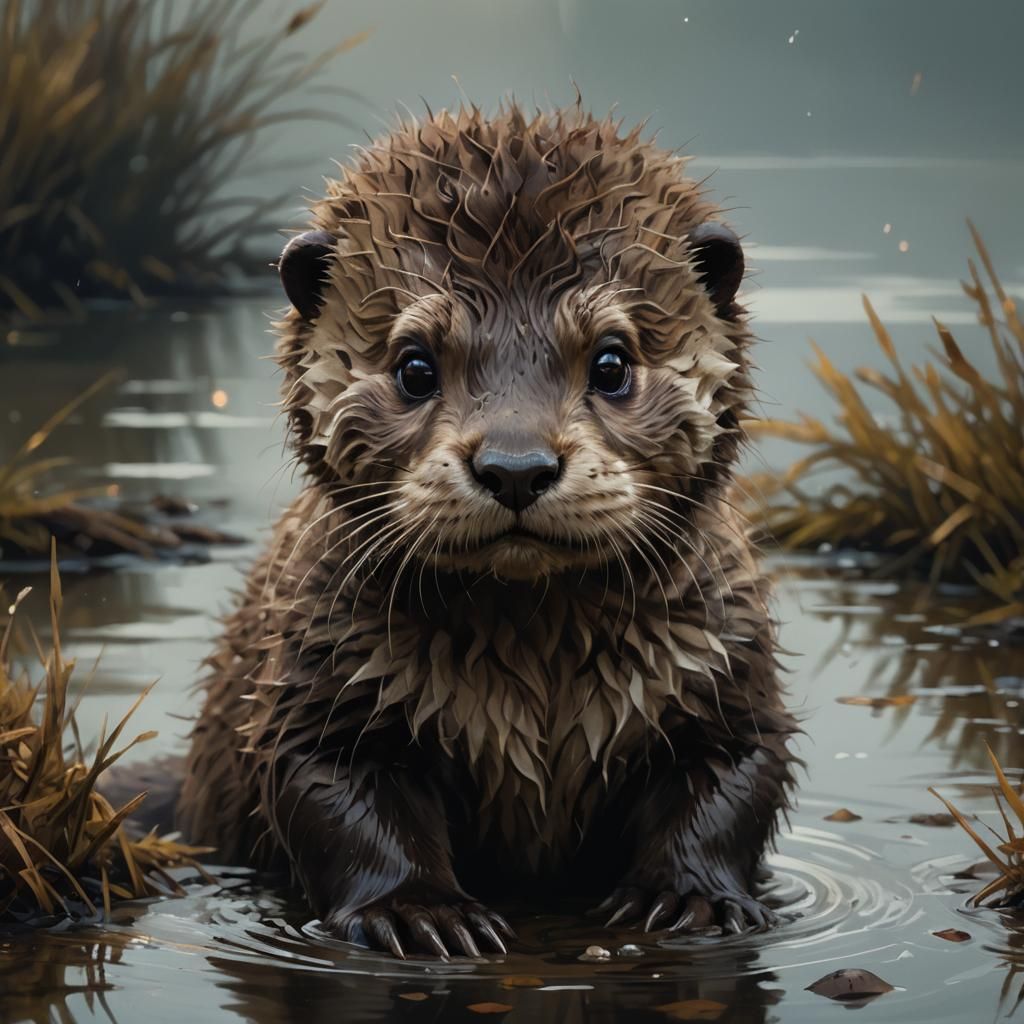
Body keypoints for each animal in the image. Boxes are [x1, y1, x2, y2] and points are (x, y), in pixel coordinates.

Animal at [176, 101, 797, 959]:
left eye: (612, 362)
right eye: (414, 366)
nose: (515, 466)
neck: (537, 673)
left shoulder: (723, 655)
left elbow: (734, 774)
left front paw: (688, 900)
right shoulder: (323, 671)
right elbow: (336, 794)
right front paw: (420, 913)